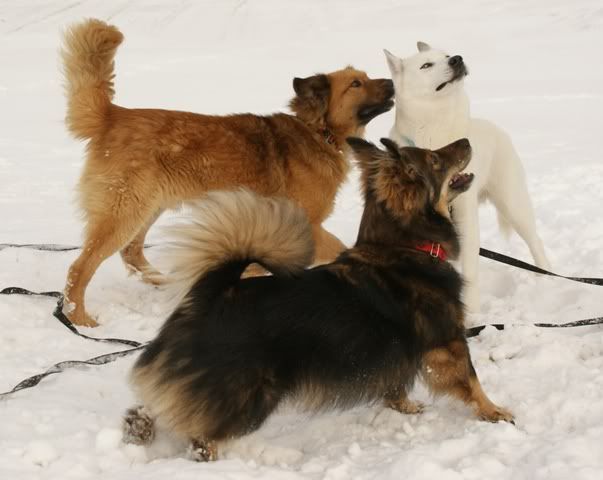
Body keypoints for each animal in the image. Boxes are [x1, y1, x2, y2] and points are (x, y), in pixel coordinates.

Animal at [59, 19, 394, 326]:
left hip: (149, 208)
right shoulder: (307, 224)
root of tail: (114, 115)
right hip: (125, 212)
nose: (392, 82)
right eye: (356, 84)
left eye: (366, 78)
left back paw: (167, 283)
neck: (317, 132)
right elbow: (337, 249)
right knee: (79, 268)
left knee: (131, 253)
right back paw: (80, 319)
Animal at [121, 137, 514, 461]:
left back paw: (139, 425)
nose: (466, 140)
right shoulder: (448, 342)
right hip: (247, 397)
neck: (403, 247)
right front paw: (495, 412)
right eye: (434, 158)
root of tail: (213, 294)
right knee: (202, 434)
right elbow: (472, 380)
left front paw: (404, 407)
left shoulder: (400, 352)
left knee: (162, 403)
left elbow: (396, 384)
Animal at [384, 42, 550, 312]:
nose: (457, 59)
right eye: (426, 65)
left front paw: (471, 314)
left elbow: (470, 277)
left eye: (445, 55)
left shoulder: (466, 221)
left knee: (536, 243)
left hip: (514, 206)